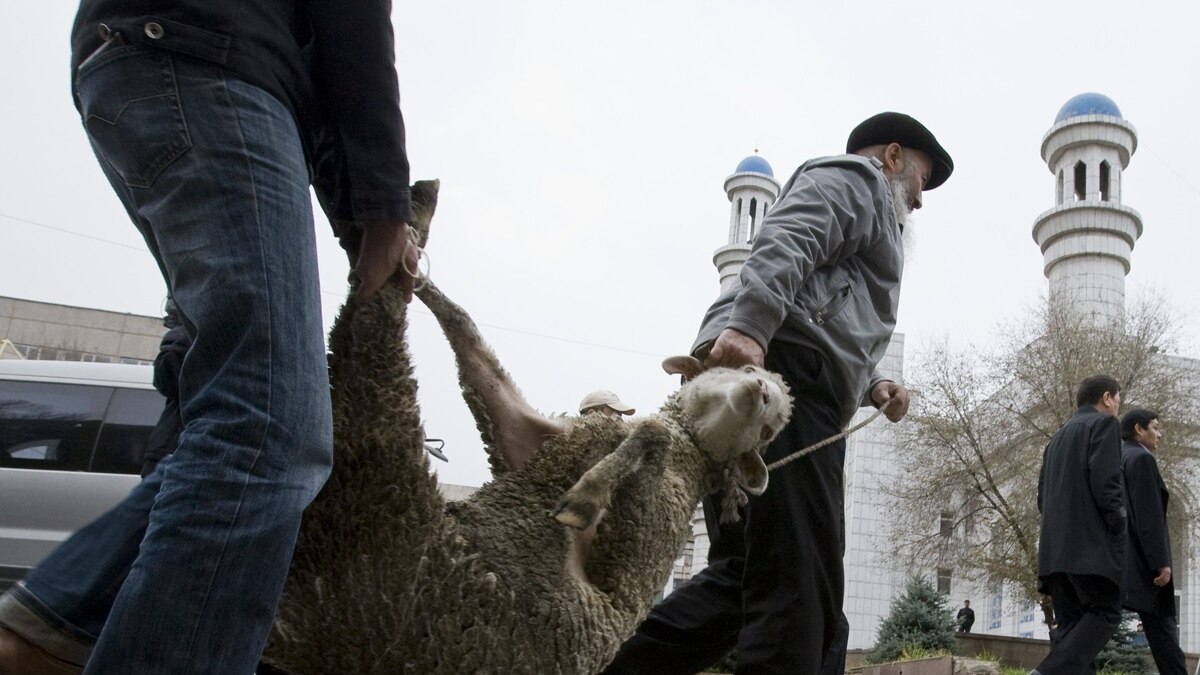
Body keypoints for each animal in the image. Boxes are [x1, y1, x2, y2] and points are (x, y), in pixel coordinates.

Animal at [260, 180, 787, 672]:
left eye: (771, 431)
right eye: (744, 367)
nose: (762, 393)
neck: (690, 449)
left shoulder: (641, 543)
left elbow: (646, 440)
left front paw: (582, 499)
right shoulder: (541, 437)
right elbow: (477, 355)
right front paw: (428, 286)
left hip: (381, 503)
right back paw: (407, 231)